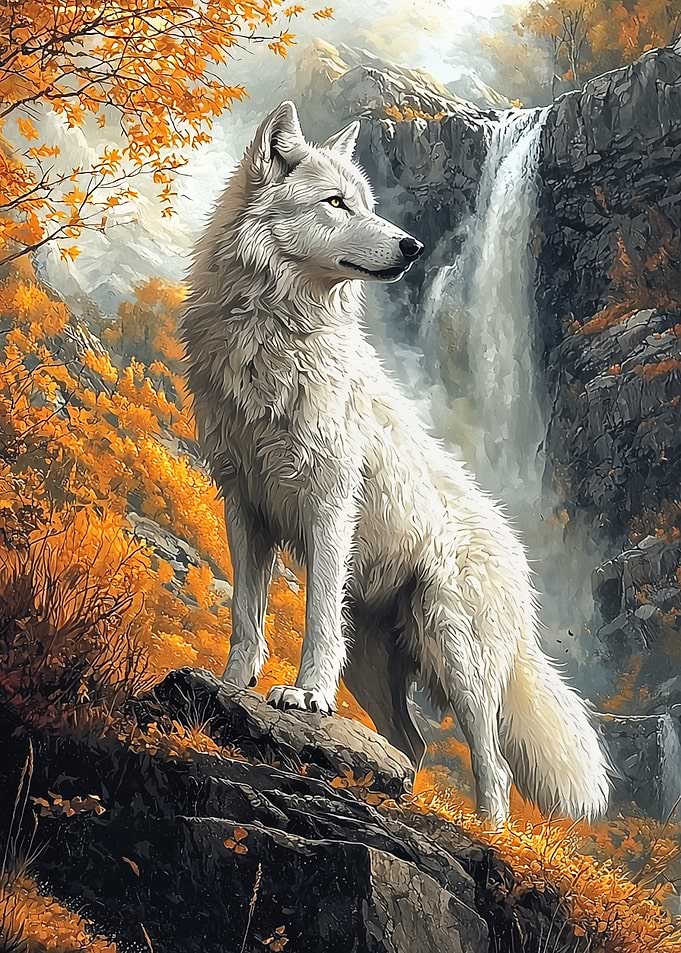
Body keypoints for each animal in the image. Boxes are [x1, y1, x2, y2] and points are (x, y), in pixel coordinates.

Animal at [182, 101, 610, 824]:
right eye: (335, 203)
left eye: (368, 205)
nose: (412, 246)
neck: (272, 336)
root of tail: (520, 563)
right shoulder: (244, 505)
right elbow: (246, 616)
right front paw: (231, 686)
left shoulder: (328, 506)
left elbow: (315, 624)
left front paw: (305, 697)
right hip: (376, 662)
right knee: (412, 745)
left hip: (456, 652)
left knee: (493, 765)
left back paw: (488, 833)